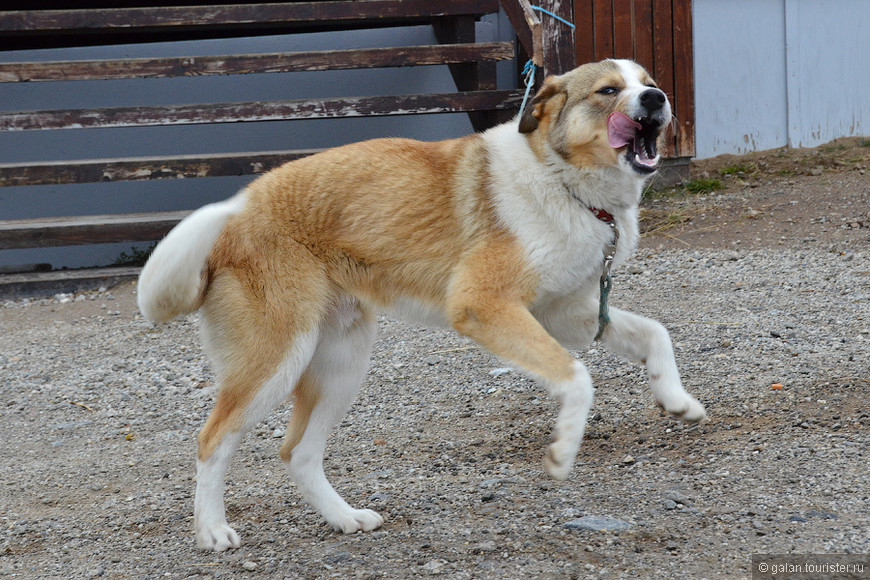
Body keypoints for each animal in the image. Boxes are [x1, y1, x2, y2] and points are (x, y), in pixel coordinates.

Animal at [138, 60, 708, 552]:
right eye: (609, 90)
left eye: (648, 82)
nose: (657, 98)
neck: (561, 179)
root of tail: (236, 215)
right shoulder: (484, 306)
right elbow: (577, 378)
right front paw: (564, 450)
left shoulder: (564, 314)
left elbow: (656, 332)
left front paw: (676, 399)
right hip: (278, 359)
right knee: (213, 440)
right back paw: (212, 531)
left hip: (343, 363)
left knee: (297, 453)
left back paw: (344, 518)